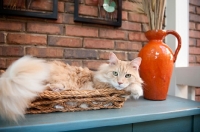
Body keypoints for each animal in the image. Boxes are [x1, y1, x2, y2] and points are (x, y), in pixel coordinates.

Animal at [0, 51, 142, 121]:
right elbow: (128, 87)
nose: (120, 82)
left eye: (127, 75)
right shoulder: (101, 86)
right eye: (115, 73)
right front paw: (137, 91)